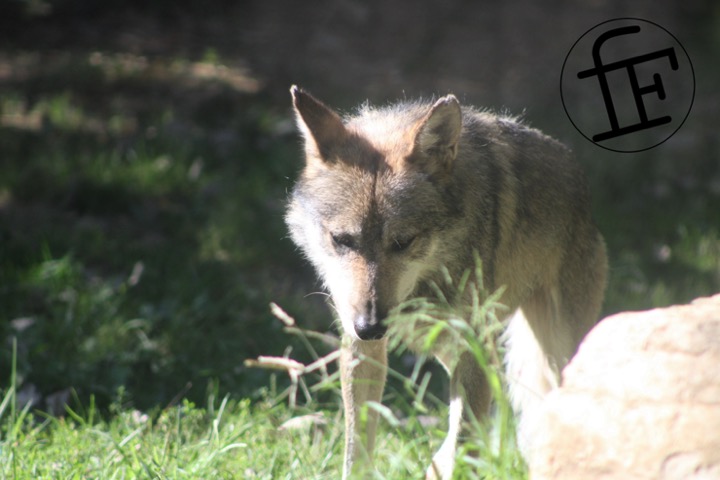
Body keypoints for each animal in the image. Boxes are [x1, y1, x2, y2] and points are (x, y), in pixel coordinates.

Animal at [285, 86, 607, 479]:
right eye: (342, 240)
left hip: (551, 353)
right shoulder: (359, 346)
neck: (427, 280)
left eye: (403, 242)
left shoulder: (471, 346)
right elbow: (356, 447)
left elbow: (463, 437)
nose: (371, 326)